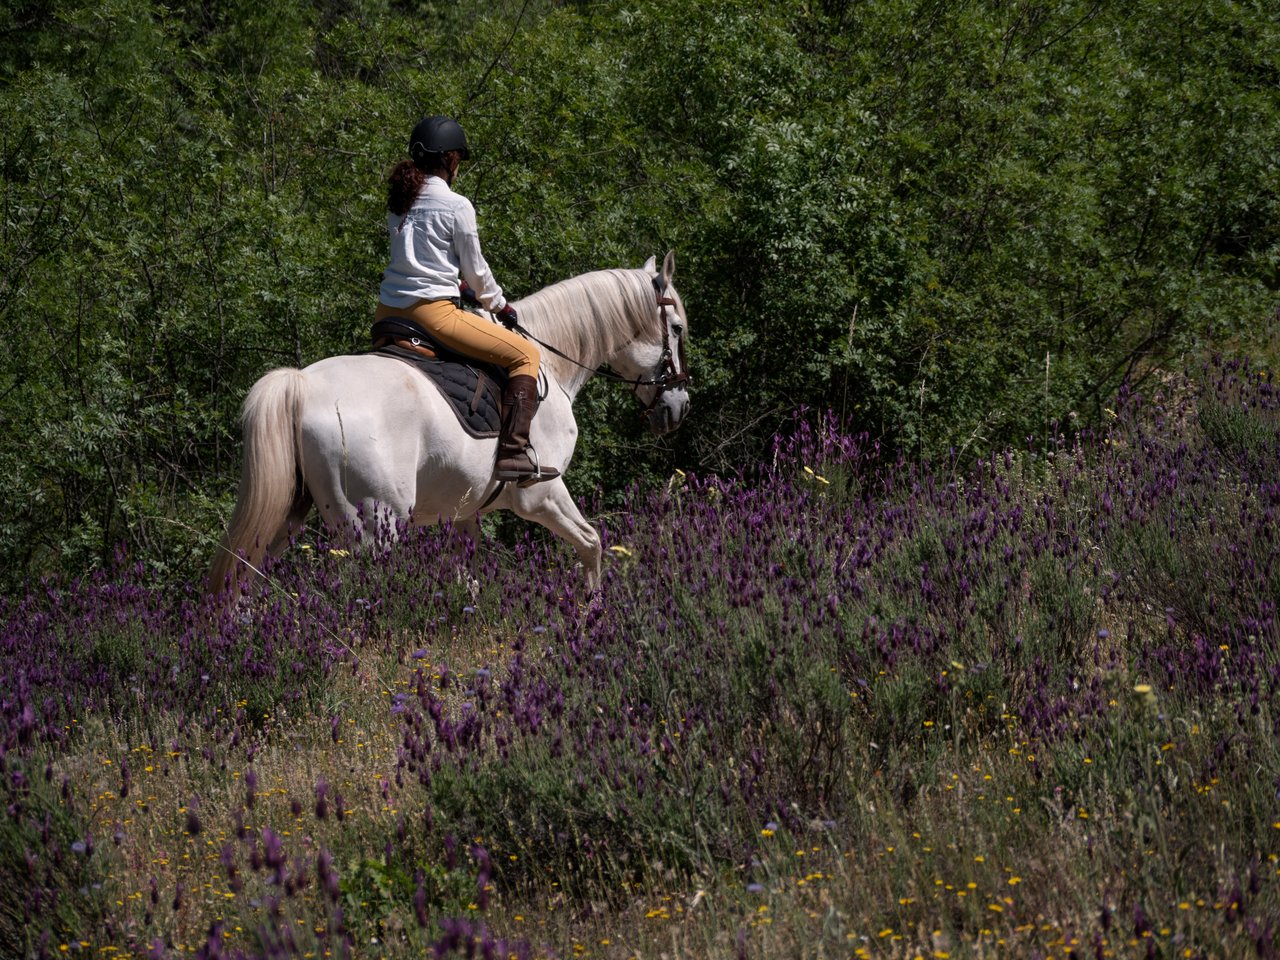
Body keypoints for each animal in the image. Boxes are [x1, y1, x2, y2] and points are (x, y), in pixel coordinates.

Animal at [207, 252, 691, 604]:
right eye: (677, 328)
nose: (678, 407)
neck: (552, 364)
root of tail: (304, 385)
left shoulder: (463, 514)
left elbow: (468, 579)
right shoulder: (541, 494)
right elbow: (591, 544)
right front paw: (593, 609)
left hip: (287, 519)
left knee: (244, 579)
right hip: (373, 529)